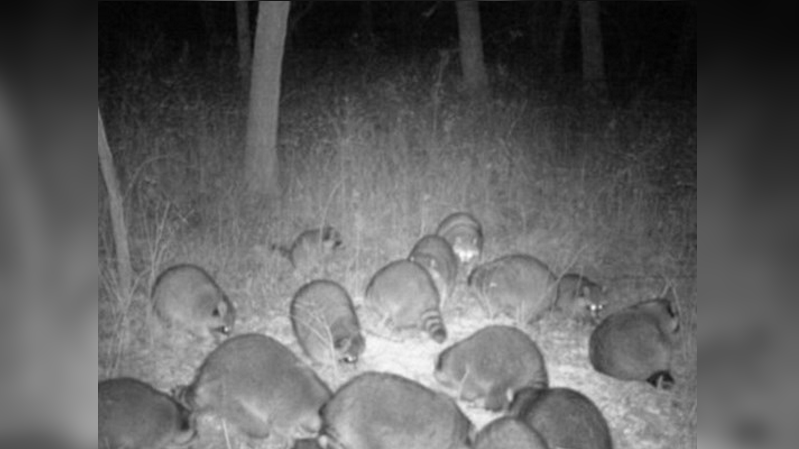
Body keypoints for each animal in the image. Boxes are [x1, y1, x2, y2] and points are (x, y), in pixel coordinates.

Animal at [177, 333, 331, 442]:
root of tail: (205, 373)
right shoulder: (289, 411)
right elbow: (279, 427)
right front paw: (291, 437)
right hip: (225, 397)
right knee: (257, 425)